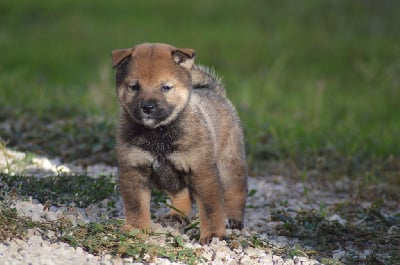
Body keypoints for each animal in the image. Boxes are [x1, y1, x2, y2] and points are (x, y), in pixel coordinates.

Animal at [111, 43, 245, 243]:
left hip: (229, 165)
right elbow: (136, 206)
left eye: (166, 87)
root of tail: (214, 91)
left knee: (235, 193)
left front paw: (213, 234)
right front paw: (136, 229)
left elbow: (211, 209)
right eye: (134, 86)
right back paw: (177, 215)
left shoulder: (202, 172)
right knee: (181, 195)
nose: (148, 107)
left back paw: (234, 220)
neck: (158, 133)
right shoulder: (134, 170)